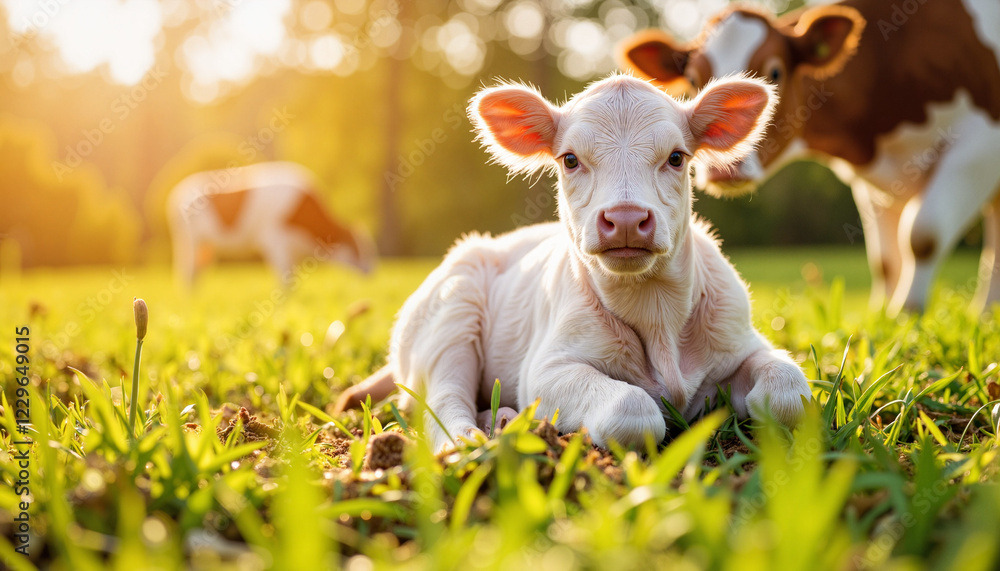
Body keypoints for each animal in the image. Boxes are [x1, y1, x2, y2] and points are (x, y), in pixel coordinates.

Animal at [167, 161, 375, 287]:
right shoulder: (275, 241)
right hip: (189, 242)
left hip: (204, 246)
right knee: (189, 274)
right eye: (358, 249)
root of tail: (178, 191)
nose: (371, 270)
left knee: (197, 272)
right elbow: (285, 281)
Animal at [332, 74, 811, 451]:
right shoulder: (544, 369)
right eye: (570, 159)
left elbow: (790, 391)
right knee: (443, 401)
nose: (625, 219)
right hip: (450, 316)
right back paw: (475, 439)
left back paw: (500, 419)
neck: (656, 314)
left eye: (676, 157)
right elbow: (632, 407)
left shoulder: (744, 341)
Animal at [619, 0, 1000, 316]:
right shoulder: (875, 181)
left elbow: (922, 235)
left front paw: (907, 314)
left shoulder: (981, 146)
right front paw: (883, 319)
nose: (722, 168)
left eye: (774, 73)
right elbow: (884, 260)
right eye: (693, 80)